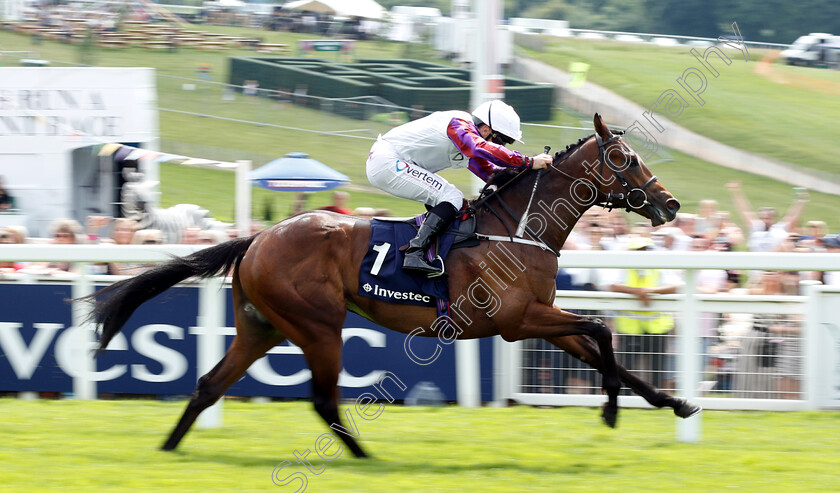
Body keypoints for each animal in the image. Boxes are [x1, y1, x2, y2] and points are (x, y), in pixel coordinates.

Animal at [83, 115, 704, 458]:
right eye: (625, 158)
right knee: (323, 398)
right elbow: (602, 329)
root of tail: (259, 238)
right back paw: (364, 456)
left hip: (261, 327)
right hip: (317, 325)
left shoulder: (539, 318)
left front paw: (674, 403)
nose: (672, 204)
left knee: (210, 385)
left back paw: (170, 447)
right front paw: (611, 411)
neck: (519, 228)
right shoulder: (514, 321)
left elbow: (604, 348)